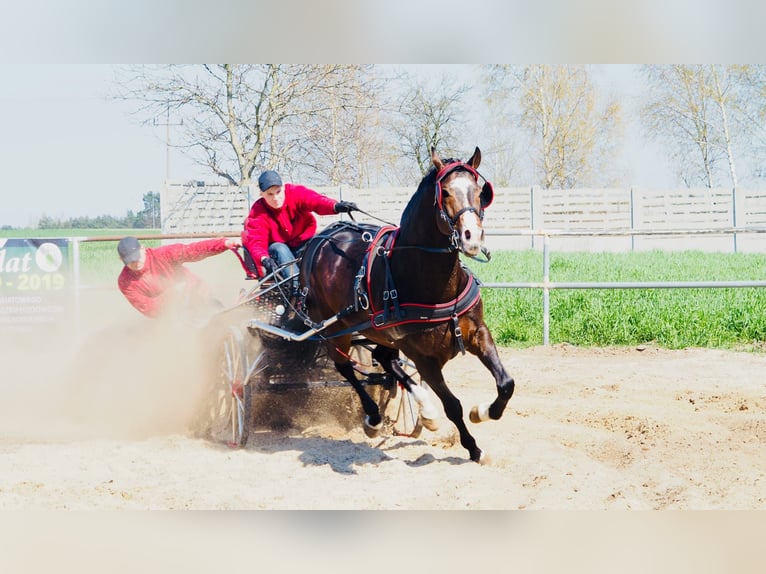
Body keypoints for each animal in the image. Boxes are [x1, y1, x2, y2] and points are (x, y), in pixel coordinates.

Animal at [300, 148, 516, 464]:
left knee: (384, 359)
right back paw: (375, 417)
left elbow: (506, 383)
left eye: (479, 192)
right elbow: (453, 405)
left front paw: (482, 413)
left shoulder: (477, 332)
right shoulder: (421, 356)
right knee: (346, 368)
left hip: (381, 333)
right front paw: (474, 448)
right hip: (334, 329)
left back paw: (422, 410)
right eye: (445, 192)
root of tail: (319, 241)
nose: (472, 237)